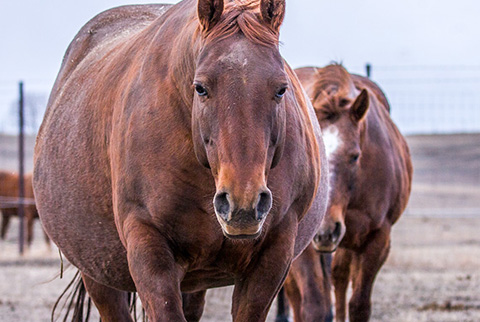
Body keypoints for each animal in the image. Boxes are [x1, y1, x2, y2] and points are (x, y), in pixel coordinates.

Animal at [33, 1, 328, 320]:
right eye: (200, 87)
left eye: (281, 89)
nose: (242, 205)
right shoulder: (150, 251)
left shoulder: (273, 255)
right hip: (98, 274)